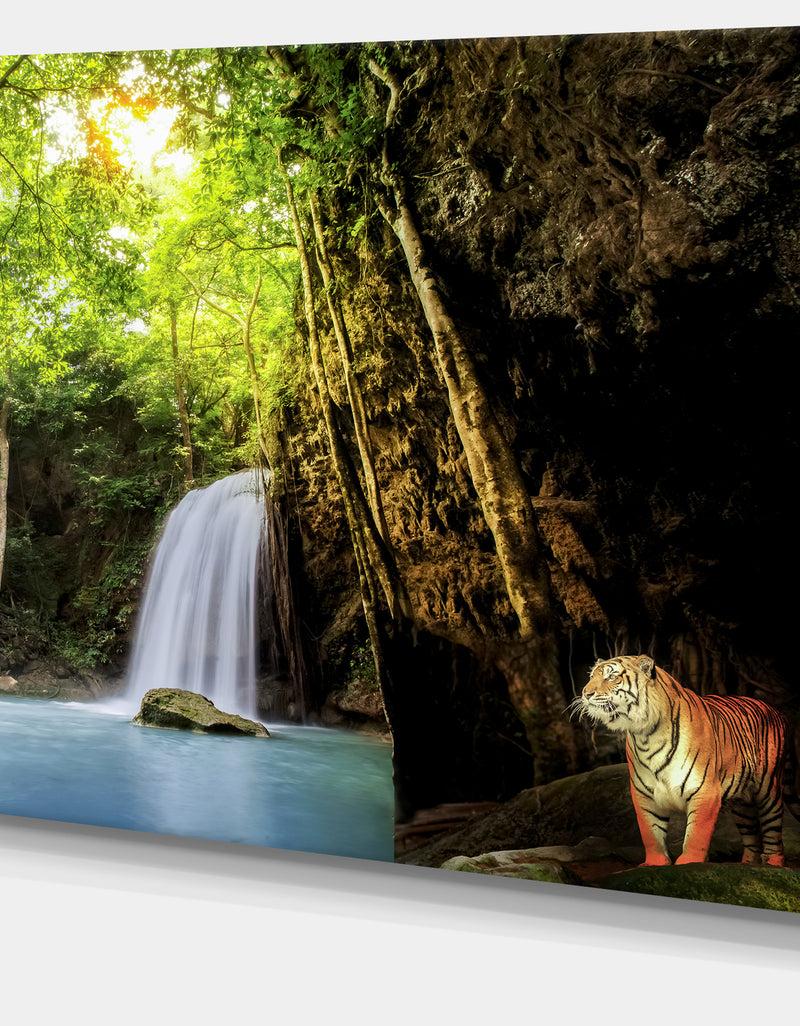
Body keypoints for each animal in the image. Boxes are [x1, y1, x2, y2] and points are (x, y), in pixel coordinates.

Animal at [576, 654, 792, 867]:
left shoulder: (705, 791)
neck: (645, 735)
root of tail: (774, 709)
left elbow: (696, 834)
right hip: (742, 803)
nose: (586, 693)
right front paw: (654, 863)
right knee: (751, 836)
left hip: (769, 790)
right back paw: (747, 864)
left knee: (773, 830)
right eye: (591, 677)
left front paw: (689, 862)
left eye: (611, 677)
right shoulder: (644, 795)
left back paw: (773, 863)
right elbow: (651, 833)